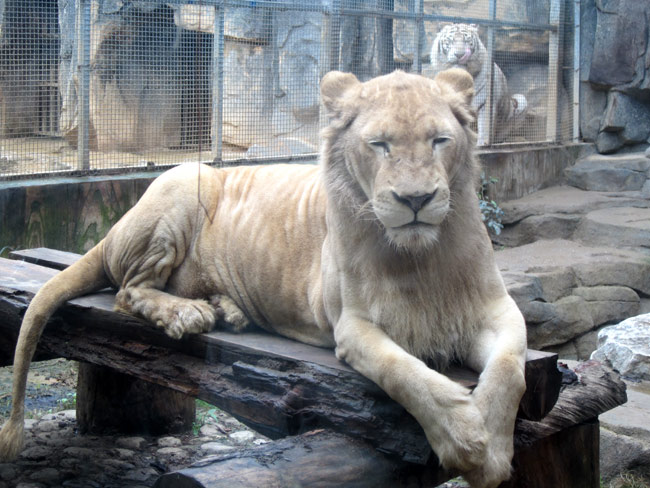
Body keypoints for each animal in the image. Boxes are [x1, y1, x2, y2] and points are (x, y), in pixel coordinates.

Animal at [0, 68, 526, 488]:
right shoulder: (352, 327)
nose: (415, 200)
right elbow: (406, 373)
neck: (422, 256)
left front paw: (494, 448)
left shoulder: (497, 309)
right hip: (182, 183)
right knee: (129, 291)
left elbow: (510, 369)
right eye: (379, 144)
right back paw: (188, 315)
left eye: (439, 140)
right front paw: (466, 441)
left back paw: (227, 310)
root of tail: (111, 232)